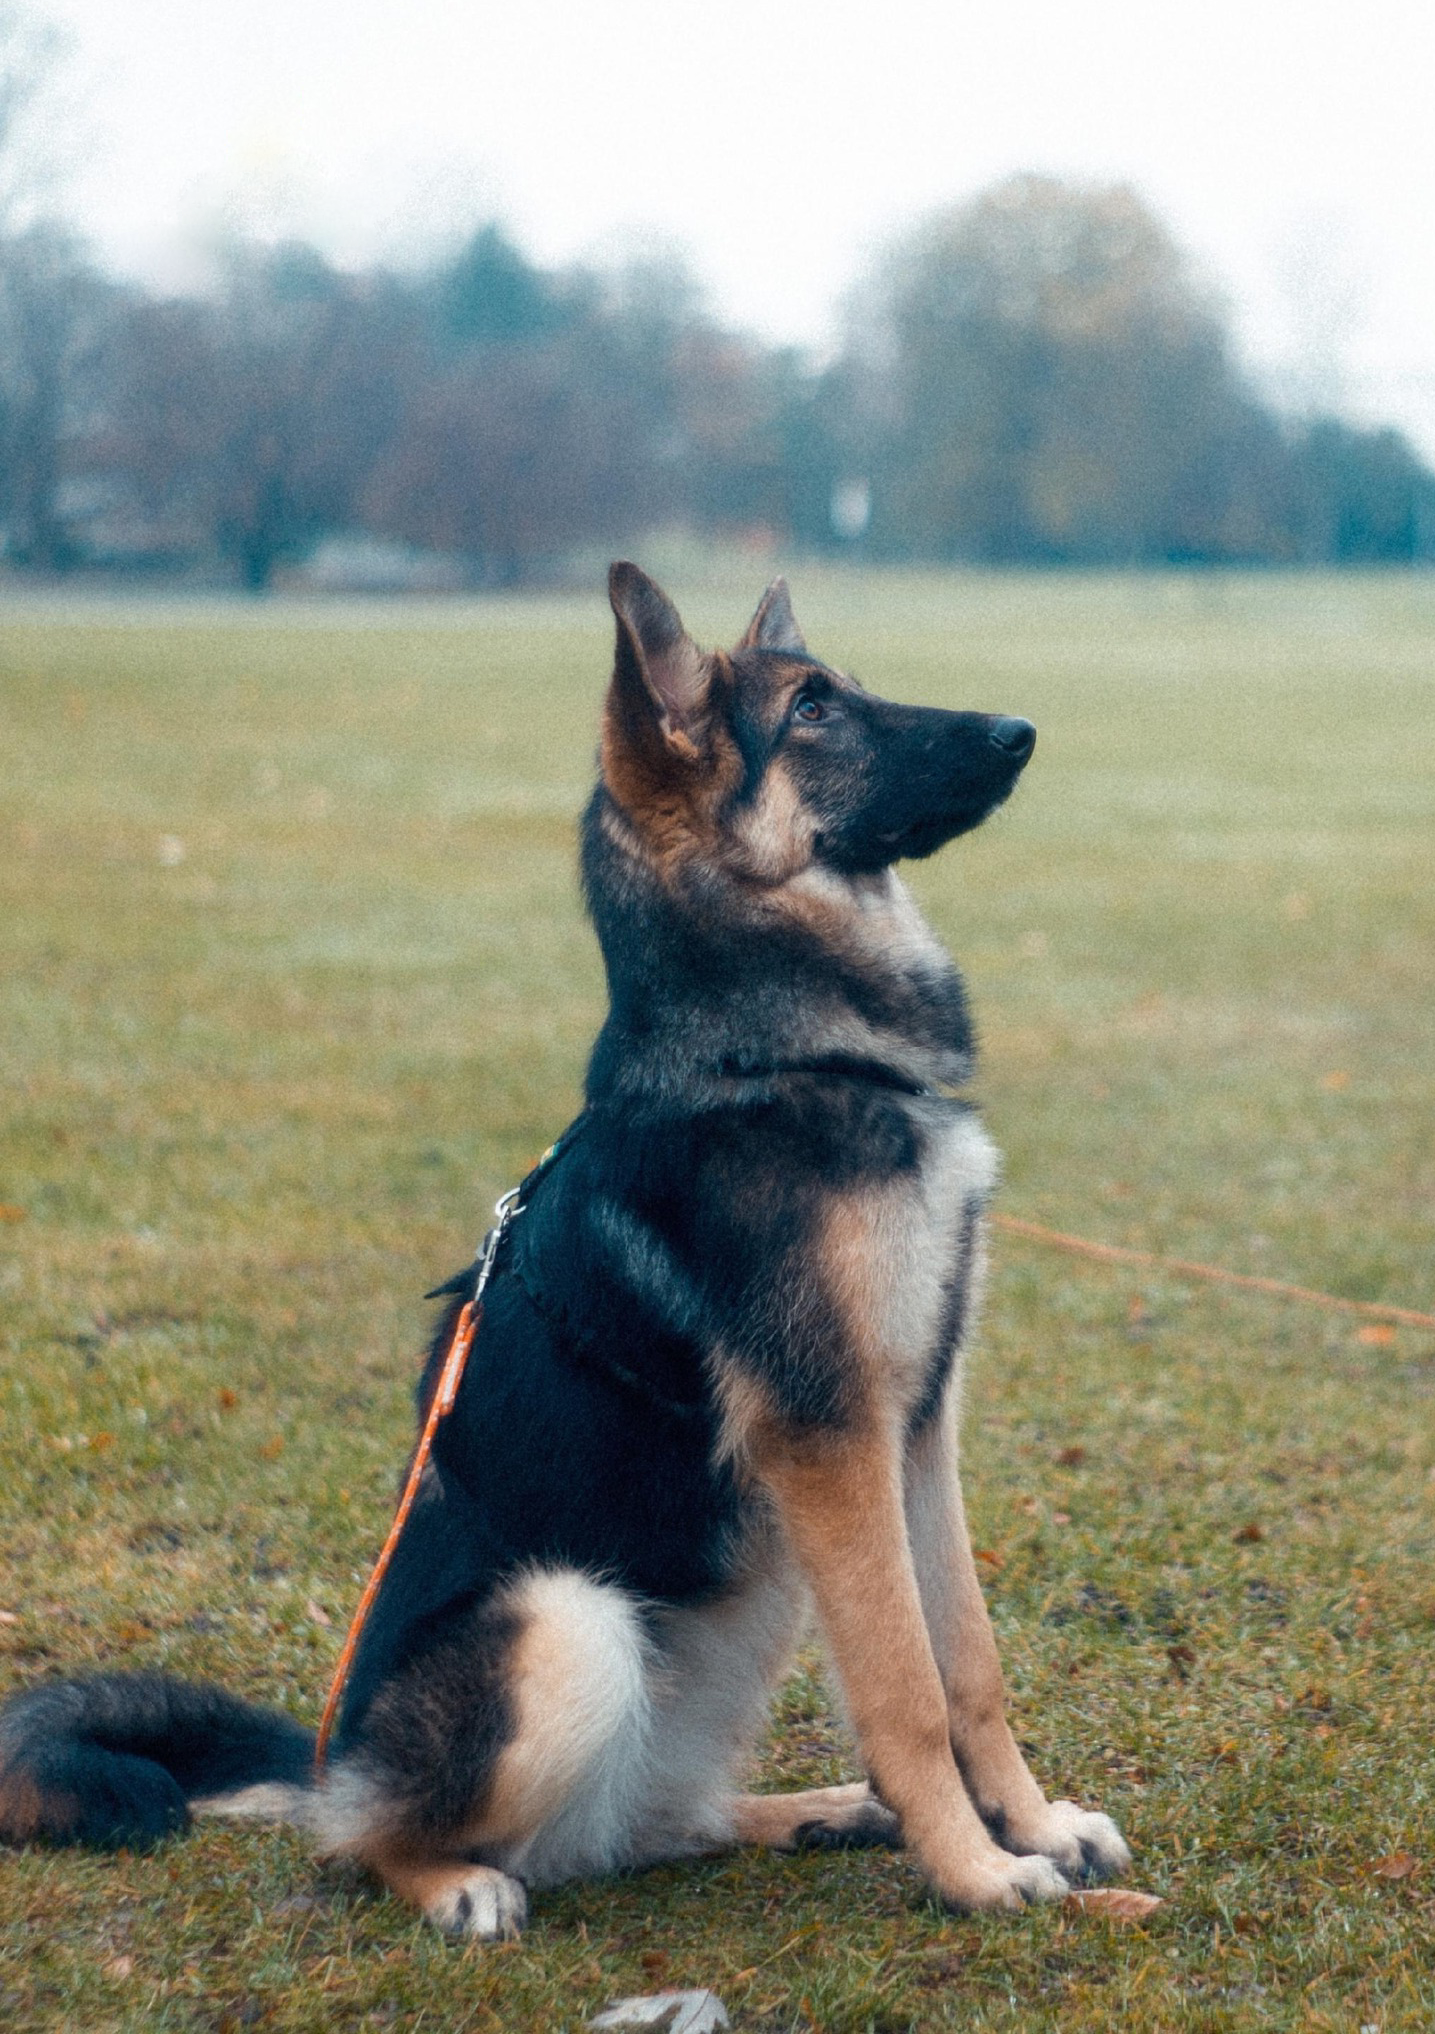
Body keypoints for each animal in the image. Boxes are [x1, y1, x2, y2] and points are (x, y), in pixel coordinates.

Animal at [2, 565, 1130, 1928]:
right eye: (811, 709)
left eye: (843, 689)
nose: (1020, 732)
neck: (775, 1052)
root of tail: (334, 1760)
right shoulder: (832, 1437)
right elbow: (906, 1691)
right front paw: (977, 1873)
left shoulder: (914, 1427)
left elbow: (968, 1662)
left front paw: (1034, 1828)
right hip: (570, 1619)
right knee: (371, 1842)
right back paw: (451, 1883)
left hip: (745, 1597)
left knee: (650, 1823)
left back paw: (809, 1813)